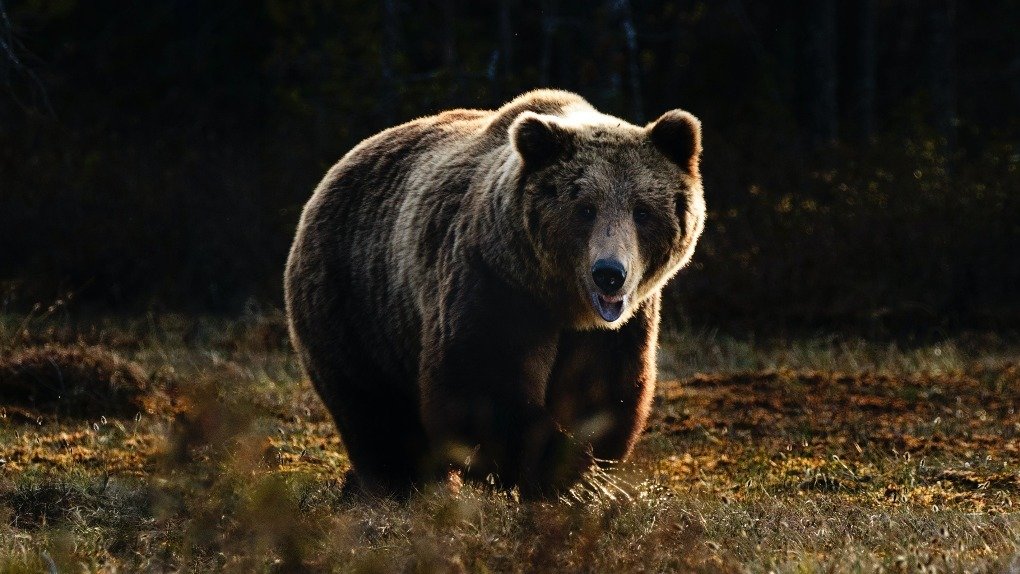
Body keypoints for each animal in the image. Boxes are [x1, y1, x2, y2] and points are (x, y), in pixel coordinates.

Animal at [283, 89, 705, 499]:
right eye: (585, 209)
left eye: (642, 211)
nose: (609, 275)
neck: (562, 301)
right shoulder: (495, 283)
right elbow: (481, 385)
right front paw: (559, 471)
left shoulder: (618, 326)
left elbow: (602, 392)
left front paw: (584, 471)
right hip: (356, 301)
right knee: (375, 409)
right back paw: (399, 485)